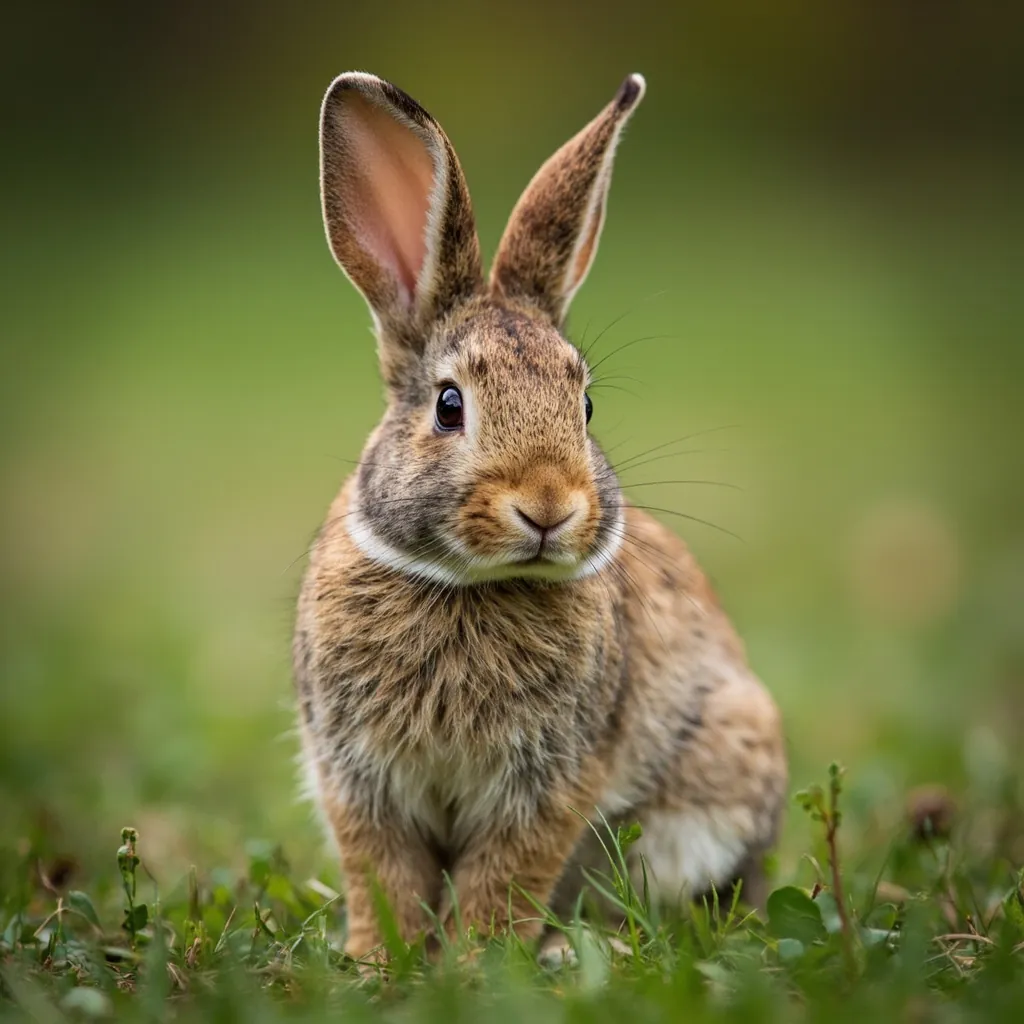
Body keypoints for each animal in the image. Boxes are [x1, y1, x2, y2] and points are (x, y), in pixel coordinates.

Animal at [293, 69, 787, 963]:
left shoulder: (550, 783)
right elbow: (382, 875)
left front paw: (478, 961)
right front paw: (379, 959)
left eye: (584, 406)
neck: (467, 587)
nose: (550, 507)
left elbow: (504, 876)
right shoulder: (357, 778)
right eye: (449, 406)